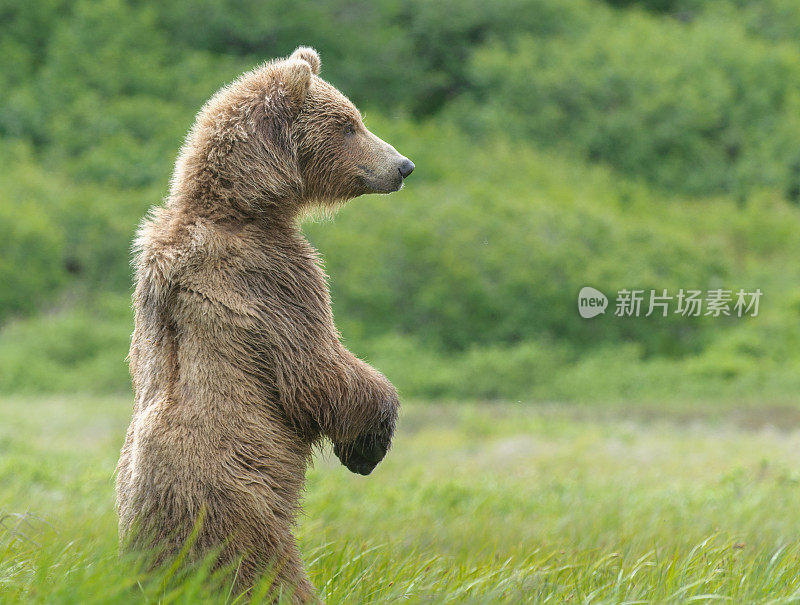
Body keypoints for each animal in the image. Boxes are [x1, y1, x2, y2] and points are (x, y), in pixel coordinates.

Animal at [115, 46, 416, 600]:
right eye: (349, 124)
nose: (403, 166)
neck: (244, 208)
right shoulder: (274, 275)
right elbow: (315, 369)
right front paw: (368, 443)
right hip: (234, 504)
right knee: (263, 571)